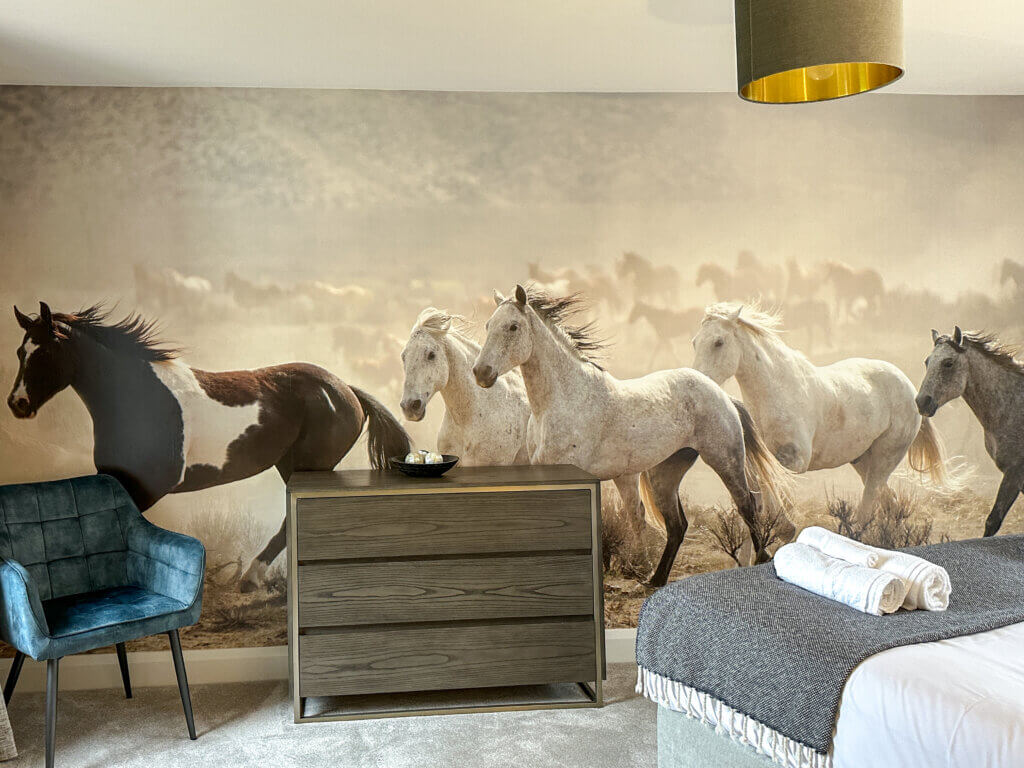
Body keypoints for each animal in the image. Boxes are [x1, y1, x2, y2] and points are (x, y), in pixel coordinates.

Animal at [7, 303, 410, 592]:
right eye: (19, 352)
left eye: (44, 353)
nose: (17, 403)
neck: (140, 399)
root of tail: (345, 389)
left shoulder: (153, 484)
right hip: (289, 465)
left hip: (313, 466)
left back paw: (250, 579)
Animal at [472, 285, 793, 587]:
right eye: (488, 325)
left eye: (513, 327)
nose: (481, 373)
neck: (564, 400)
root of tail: (719, 392)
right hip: (664, 473)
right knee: (677, 525)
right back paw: (655, 580)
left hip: (724, 458)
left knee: (747, 504)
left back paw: (759, 558)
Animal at [692, 303, 948, 526]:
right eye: (695, 342)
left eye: (718, 342)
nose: (699, 382)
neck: (778, 392)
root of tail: (910, 388)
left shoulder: (794, 461)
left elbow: (773, 492)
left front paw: (785, 528)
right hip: (862, 460)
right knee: (888, 501)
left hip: (885, 458)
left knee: (870, 500)